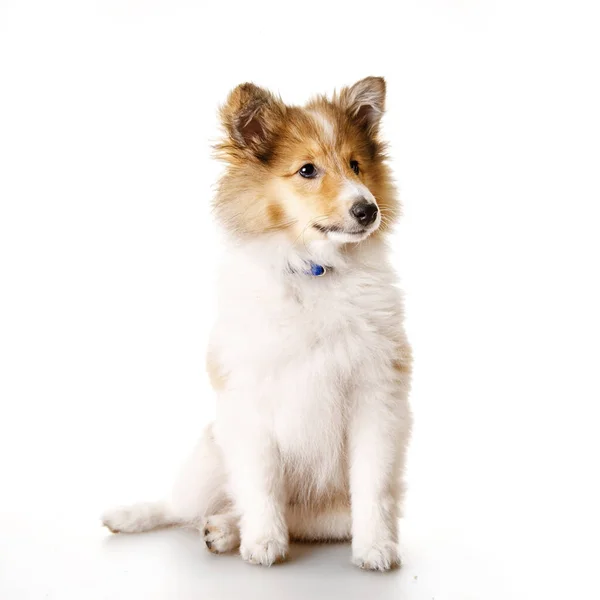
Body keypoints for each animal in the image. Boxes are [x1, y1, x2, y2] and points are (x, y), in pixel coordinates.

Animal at [103, 76, 412, 572]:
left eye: (356, 165)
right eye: (307, 170)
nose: (368, 210)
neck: (314, 272)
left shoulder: (376, 398)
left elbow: (373, 485)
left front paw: (377, 549)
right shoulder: (249, 398)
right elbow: (261, 483)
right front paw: (263, 543)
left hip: (326, 514)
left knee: (282, 515)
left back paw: (223, 530)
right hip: (210, 450)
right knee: (185, 505)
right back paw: (133, 516)